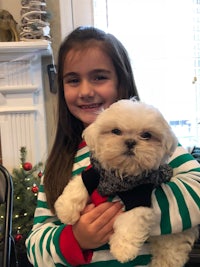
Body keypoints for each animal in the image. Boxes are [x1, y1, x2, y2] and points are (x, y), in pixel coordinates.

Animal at [55, 99, 198, 266]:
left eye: (146, 135)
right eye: (116, 131)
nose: (130, 142)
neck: (120, 174)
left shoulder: (139, 195)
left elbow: (131, 220)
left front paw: (123, 250)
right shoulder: (94, 173)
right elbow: (78, 184)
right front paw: (66, 211)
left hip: (173, 240)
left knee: (170, 254)